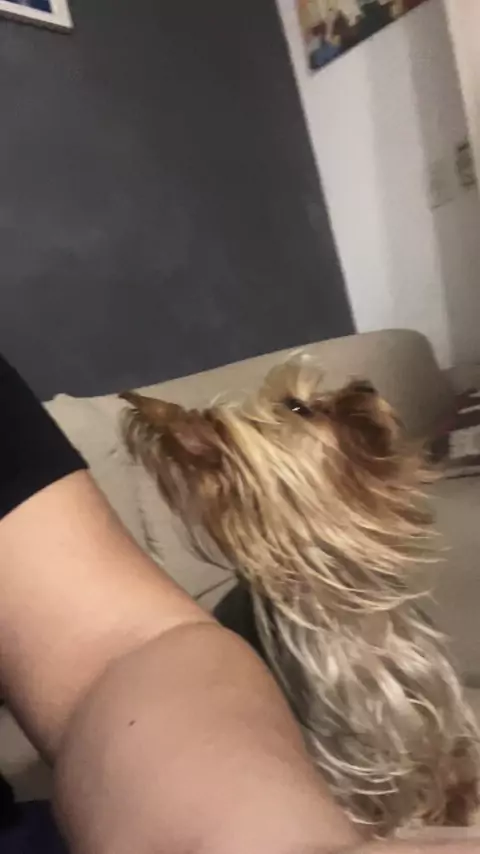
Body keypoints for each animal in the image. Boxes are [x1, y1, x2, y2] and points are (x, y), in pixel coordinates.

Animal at [120, 359, 479, 837]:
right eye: (298, 407)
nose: (365, 385)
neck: (348, 599)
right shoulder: (342, 744)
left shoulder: (421, 680)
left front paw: (455, 793)